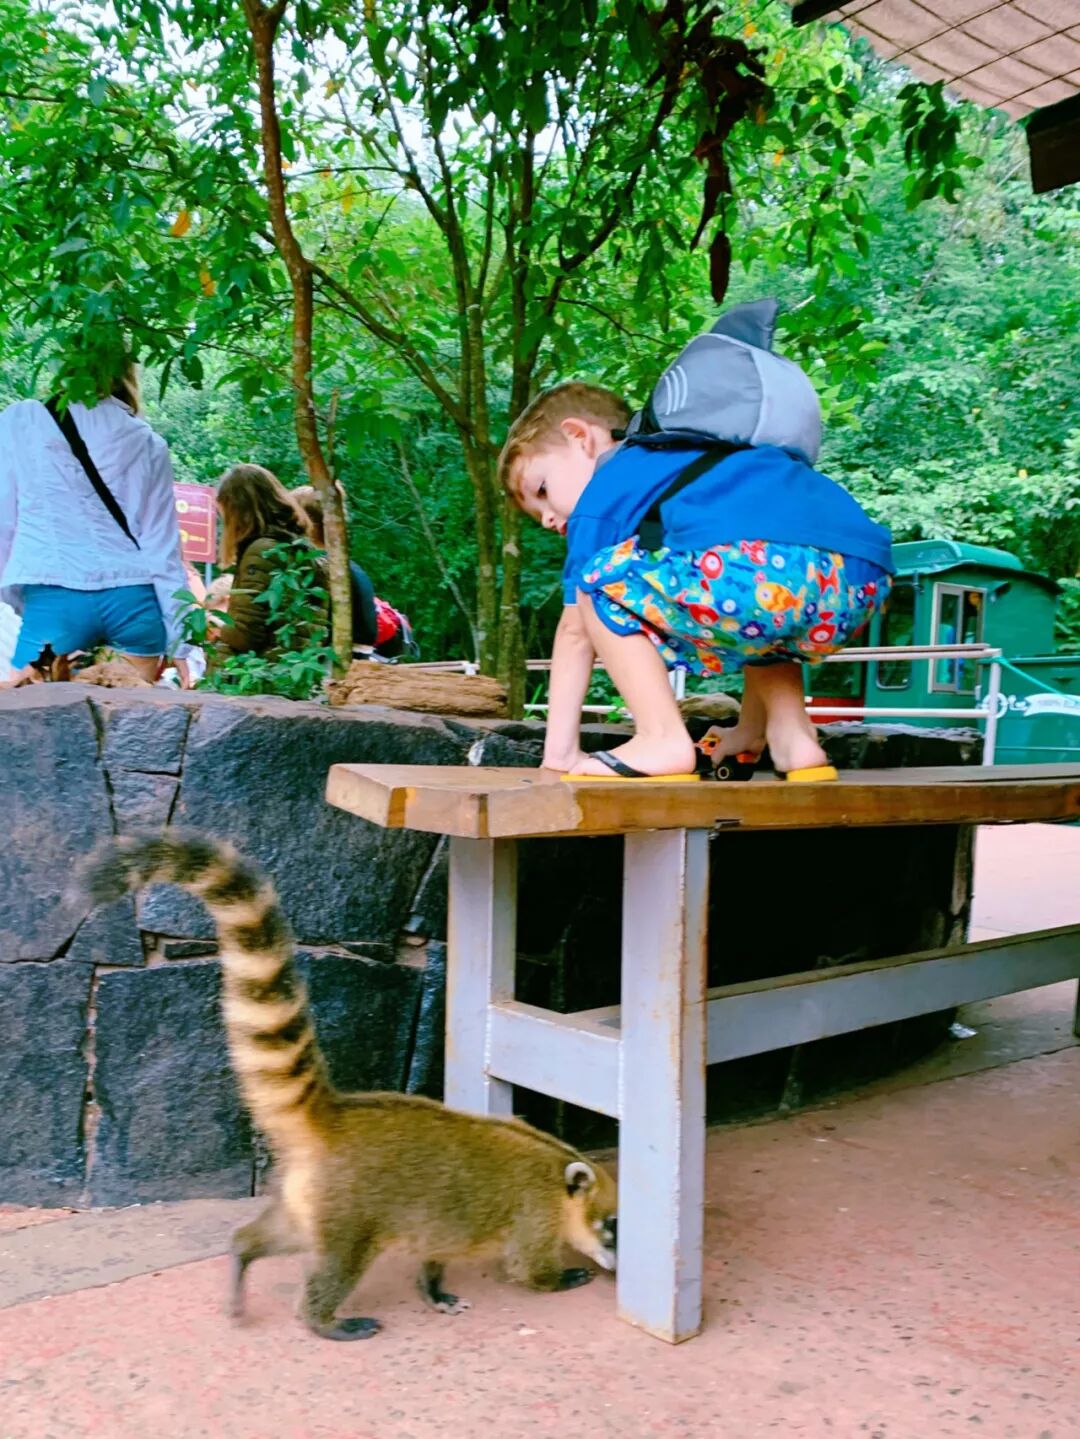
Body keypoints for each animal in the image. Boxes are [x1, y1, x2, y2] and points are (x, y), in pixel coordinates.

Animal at [82, 831, 618, 1341]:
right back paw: (322, 1321)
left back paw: (243, 1252)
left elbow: (434, 1251)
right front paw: (562, 1277)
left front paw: (434, 1287)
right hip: (350, 1210)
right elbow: (526, 1267)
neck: (560, 1169)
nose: (616, 1271)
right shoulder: (536, 1214)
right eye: (613, 1227)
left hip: (308, 1198)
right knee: (338, 1264)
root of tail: (336, 1116)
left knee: (280, 1236)